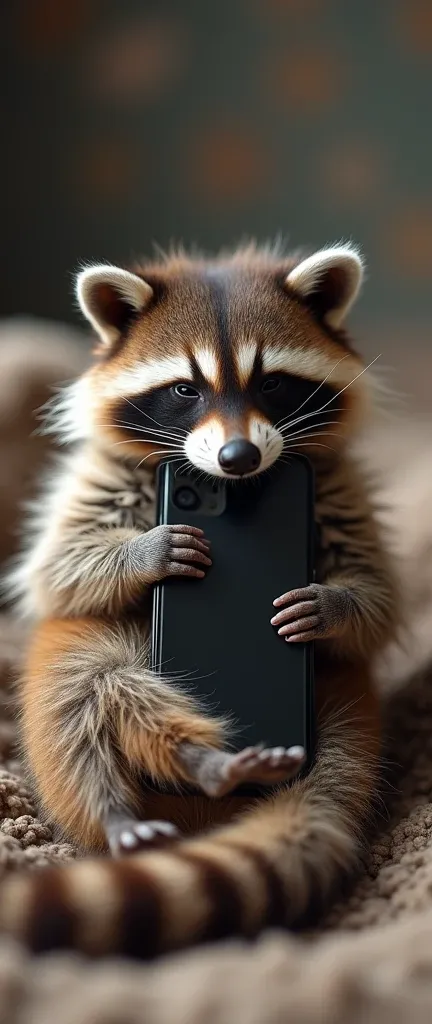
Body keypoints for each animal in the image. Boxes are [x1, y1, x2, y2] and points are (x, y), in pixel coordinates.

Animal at [0, 241, 399, 958]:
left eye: (271, 383)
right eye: (185, 390)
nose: (238, 458)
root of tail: (198, 813)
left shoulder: (338, 484)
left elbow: (378, 594)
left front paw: (331, 604)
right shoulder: (95, 477)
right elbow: (57, 568)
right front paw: (145, 551)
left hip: (346, 702)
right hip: (77, 665)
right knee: (85, 699)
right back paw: (144, 792)